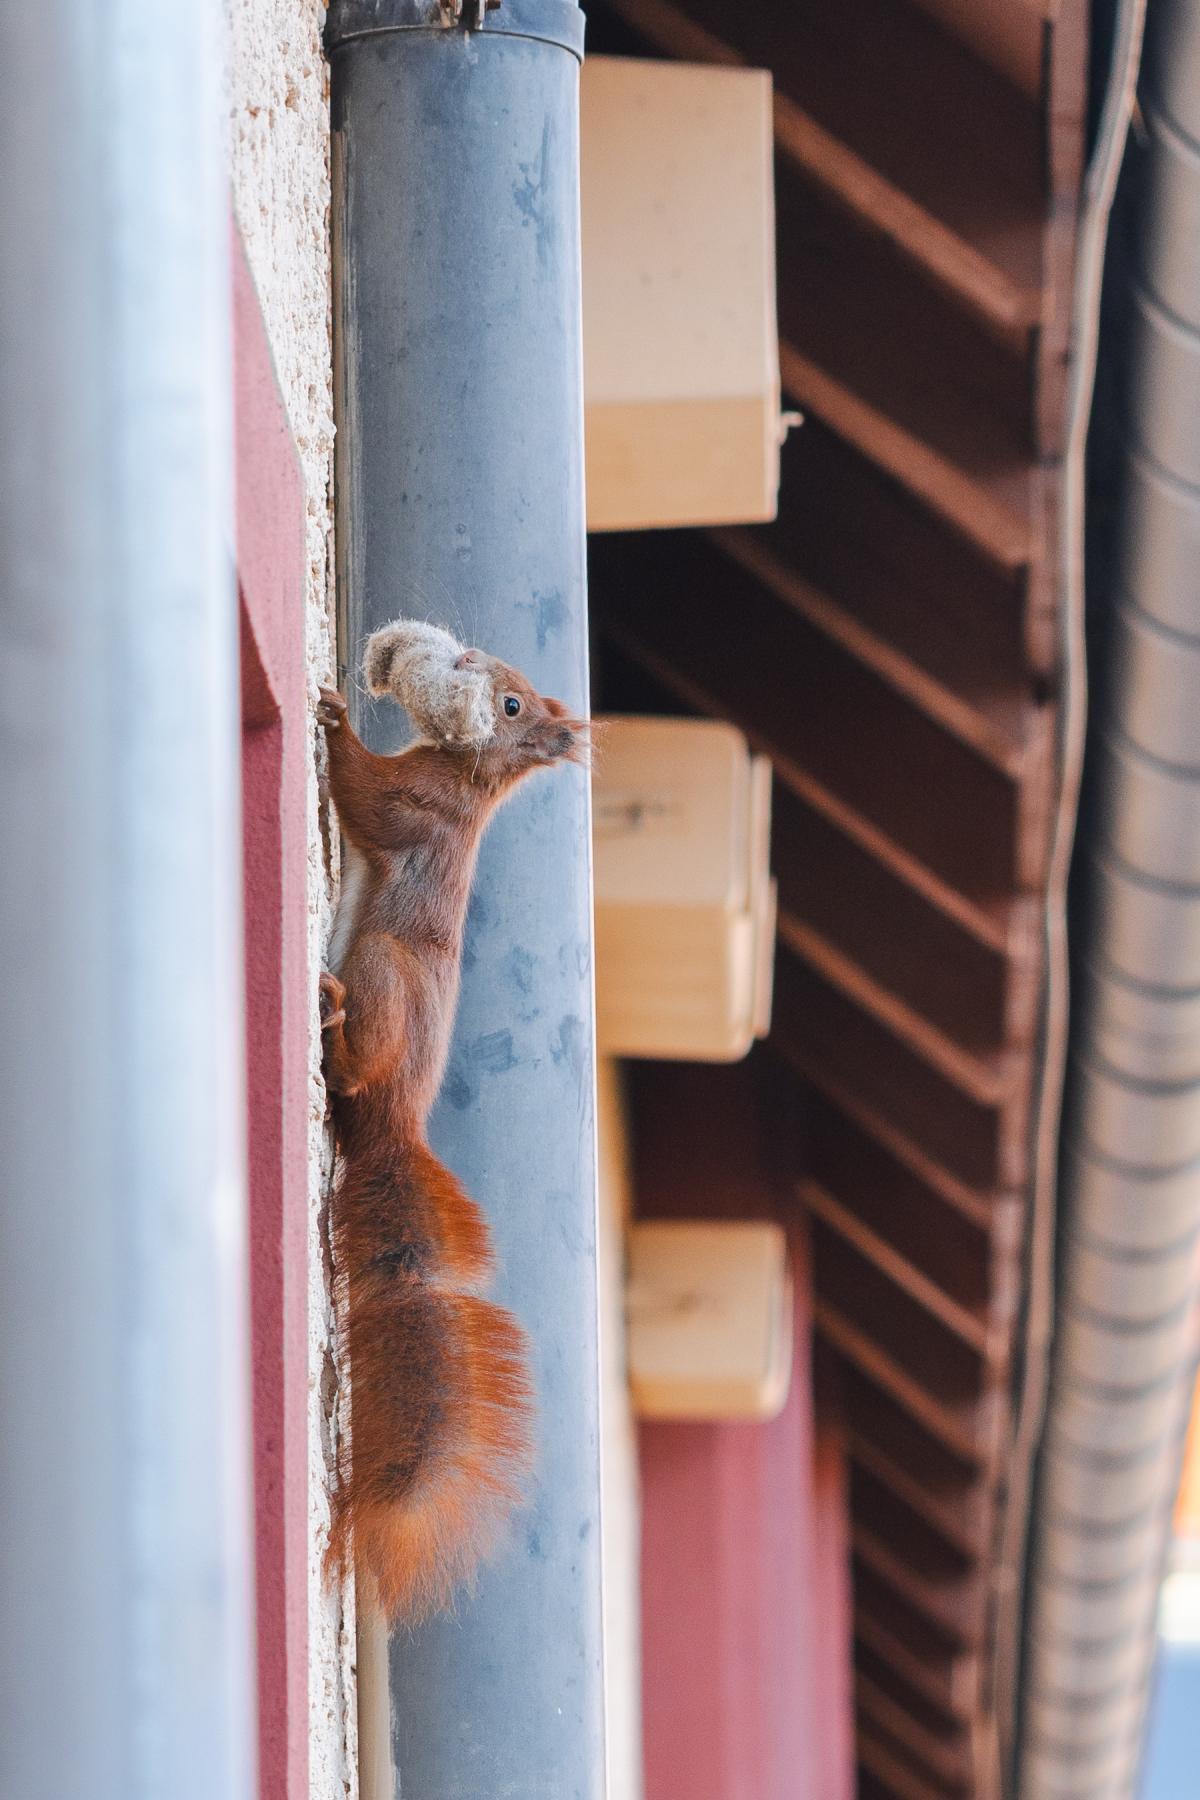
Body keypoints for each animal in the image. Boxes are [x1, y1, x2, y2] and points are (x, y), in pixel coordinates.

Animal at [316, 615, 582, 1620]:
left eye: (508, 704)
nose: (462, 661)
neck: (466, 779)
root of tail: (395, 1127)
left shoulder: (417, 809)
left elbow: (363, 794)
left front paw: (334, 717)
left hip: (385, 972)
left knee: (357, 1063)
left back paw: (333, 1023)